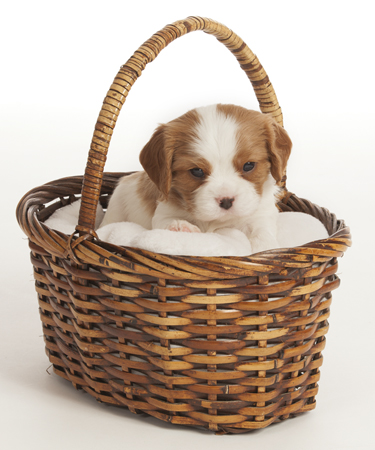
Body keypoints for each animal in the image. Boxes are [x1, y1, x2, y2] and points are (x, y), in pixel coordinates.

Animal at [100, 103, 294, 255]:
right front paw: (181, 227)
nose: (226, 201)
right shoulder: (164, 212)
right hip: (116, 210)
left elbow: (262, 233)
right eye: (197, 171)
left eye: (248, 166)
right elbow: (165, 221)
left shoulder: (261, 215)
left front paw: (266, 250)